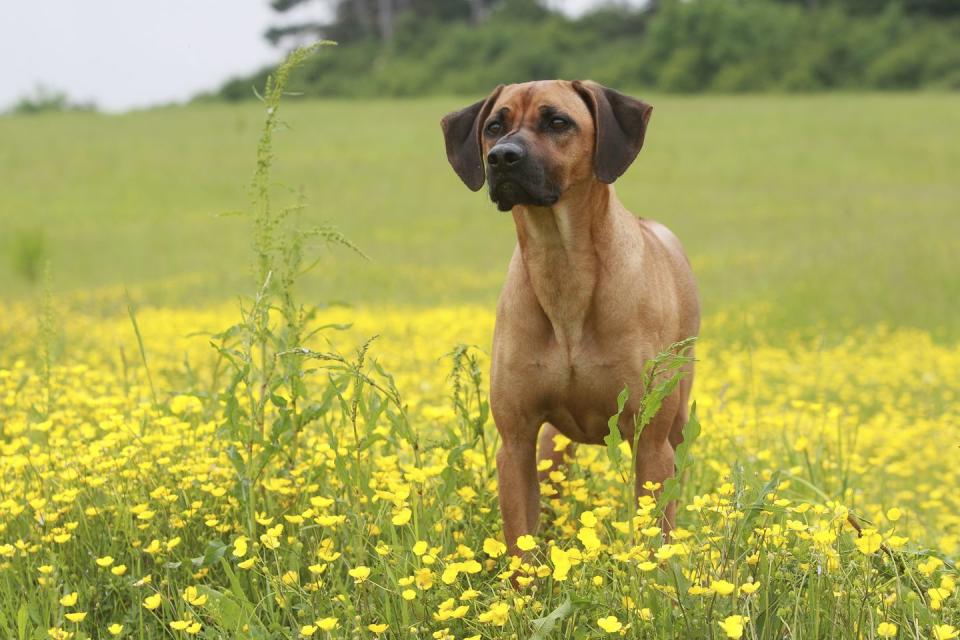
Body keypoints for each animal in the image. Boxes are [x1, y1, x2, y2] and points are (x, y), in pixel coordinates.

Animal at [440, 80, 696, 556]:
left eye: (558, 122)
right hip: (550, 446)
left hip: (677, 422)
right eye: (494, 125)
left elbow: (652, 535)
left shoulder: (650, 441)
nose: (501, 156)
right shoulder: (517, 441)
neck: (561, 260)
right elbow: (520, 541)